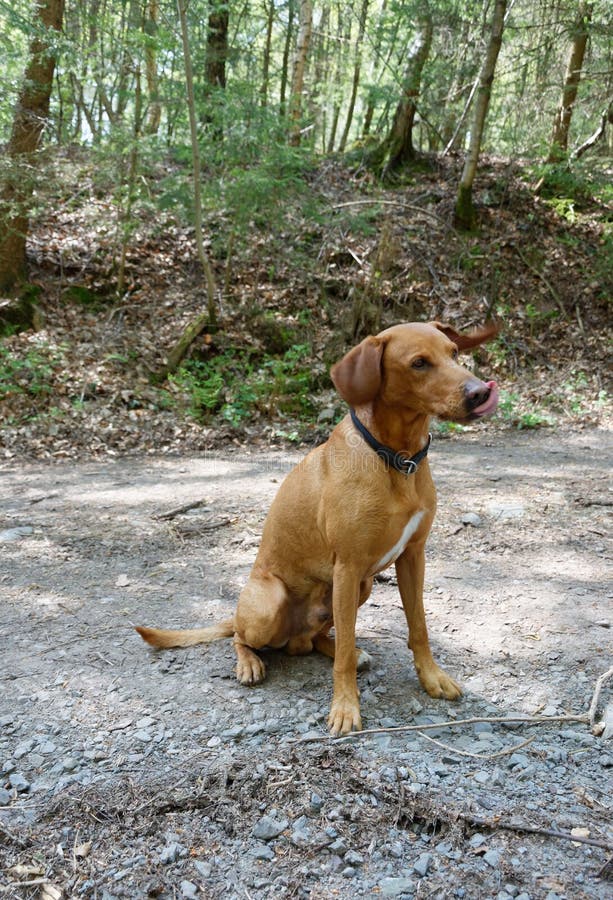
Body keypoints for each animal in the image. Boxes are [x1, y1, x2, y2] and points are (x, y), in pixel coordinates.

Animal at [137, 320, 498, 736]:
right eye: (419, 363)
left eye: (454, 353)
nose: (480, 392)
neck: (395, 458)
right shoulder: (349, 565)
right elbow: (343, 657)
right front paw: (345, 708)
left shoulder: (412, 557)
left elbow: (418, 627)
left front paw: (432, 677)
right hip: (273, 602)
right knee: (244, 637)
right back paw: (250, 662)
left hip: (361, 586)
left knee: (319, 639)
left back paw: (344, 649)